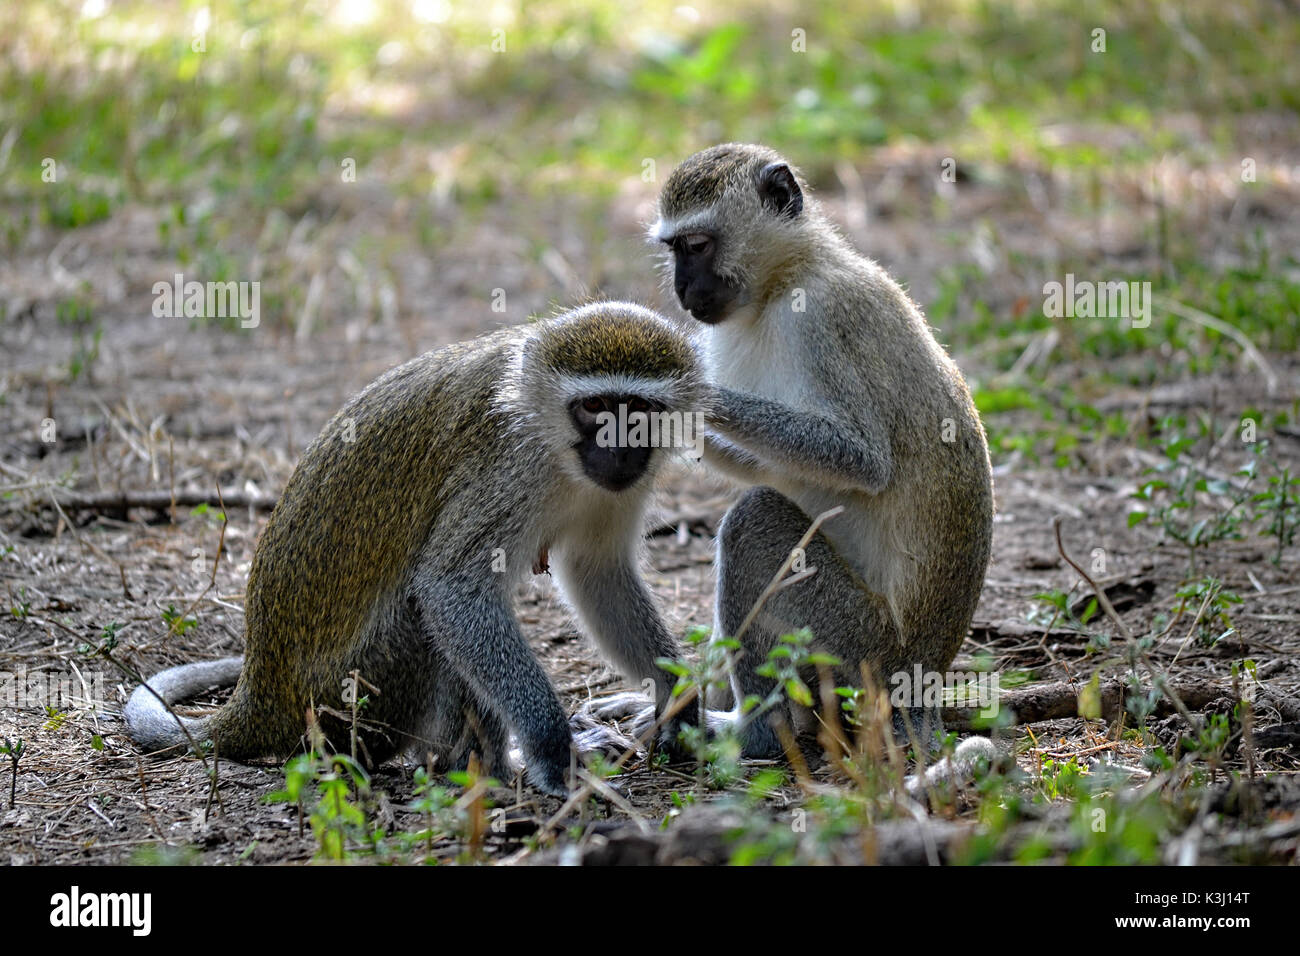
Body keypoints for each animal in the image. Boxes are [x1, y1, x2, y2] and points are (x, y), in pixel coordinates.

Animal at [126, 303, 707, 796]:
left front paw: (678, 700)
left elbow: (596, 573)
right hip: (350, 696)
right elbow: (452, 589)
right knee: (421, 615)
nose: (618, 450)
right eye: (595, 407)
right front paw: (550, 747)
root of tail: (262, 695)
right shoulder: (508, 466)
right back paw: (482, 770)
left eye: (640, 411)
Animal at [650, 143, 993, 770]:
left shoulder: (823, 319)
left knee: (755, 519)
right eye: (674, 249)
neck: (782, 281)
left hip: (859, 646)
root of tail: (921, 682)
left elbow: (861, 460)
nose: (683, 291)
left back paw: (750, 735)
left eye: (698, 245)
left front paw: (685, 390)